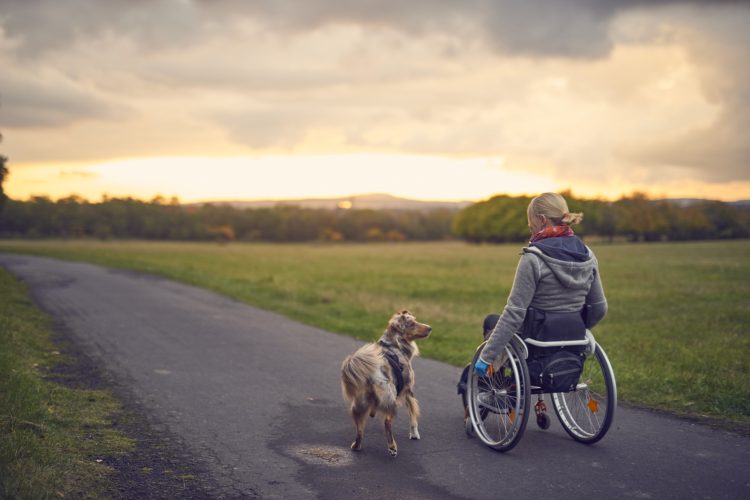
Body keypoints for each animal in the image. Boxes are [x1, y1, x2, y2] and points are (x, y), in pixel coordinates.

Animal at [342, 310, 434, 458]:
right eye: (412, 323)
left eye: (415, 320)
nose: (430, 328)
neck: (394, 343)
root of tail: (374, 373)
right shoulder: (408, 391)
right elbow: (413, 415)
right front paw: (414, 434)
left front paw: (373, 412)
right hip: (391, 401)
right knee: (387, 423)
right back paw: (392, 447)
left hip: (358, 405)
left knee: (359, 430)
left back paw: (356, 446)